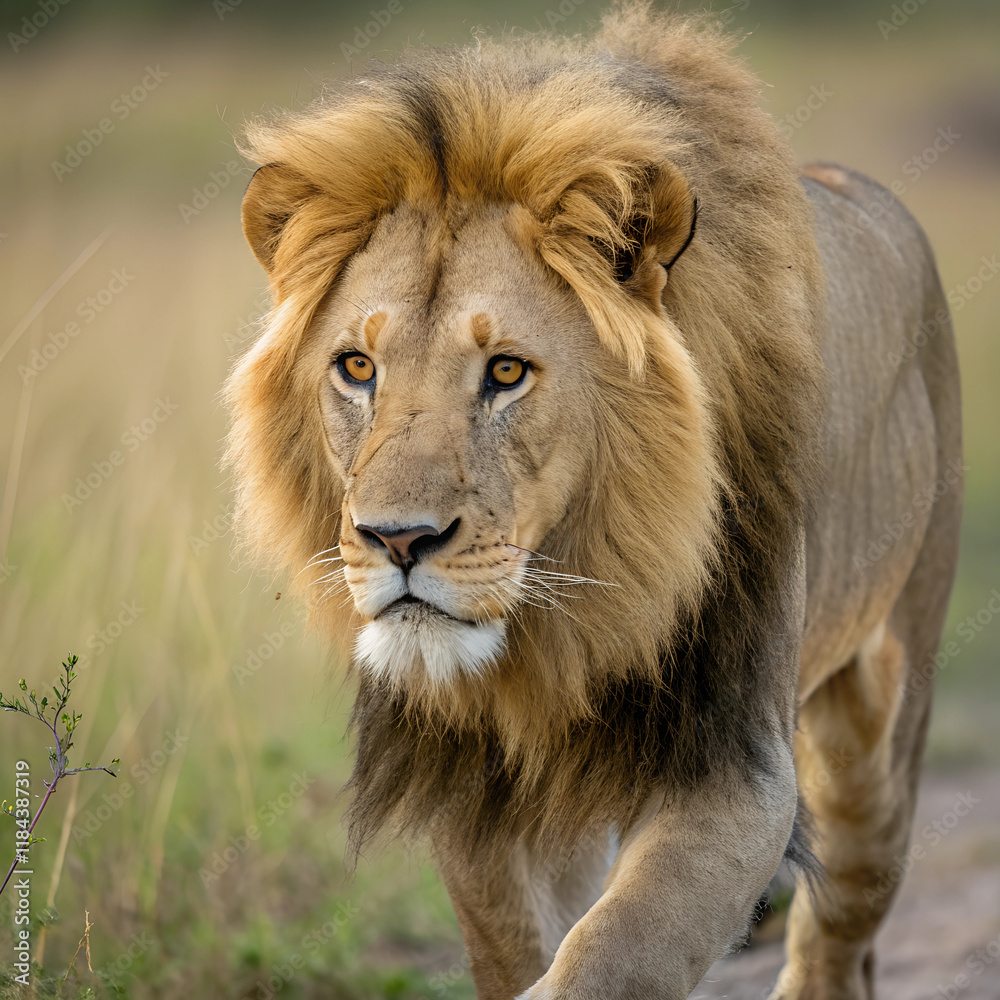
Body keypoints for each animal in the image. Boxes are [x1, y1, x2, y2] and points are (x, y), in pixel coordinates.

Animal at [224, 4, 962, 997]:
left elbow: (617, 946)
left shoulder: (733, 766)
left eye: (506, 372)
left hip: (882, 721)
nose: (397, 540)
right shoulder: (486, 785)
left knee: (839, 924)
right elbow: (515, 940)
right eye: (357, 368)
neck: (564, 624)